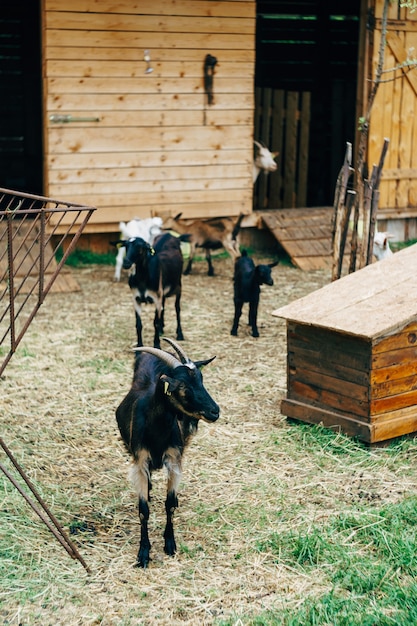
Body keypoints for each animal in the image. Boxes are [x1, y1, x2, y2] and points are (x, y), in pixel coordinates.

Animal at [114, 336, 218, 564]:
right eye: (182, 386)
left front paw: (170, 542)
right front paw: (143, 552)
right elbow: (143, 510)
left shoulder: (173, 459)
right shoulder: (140, 461)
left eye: (201, 379)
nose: (215, 411)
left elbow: (169, 503)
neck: (156, 431)